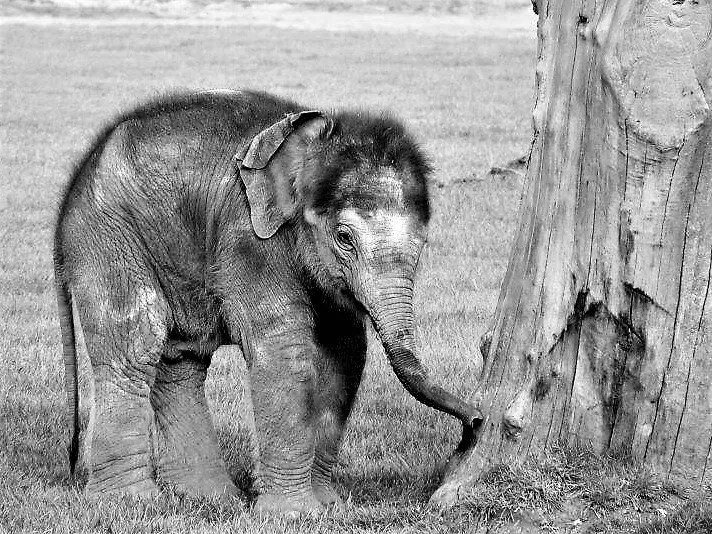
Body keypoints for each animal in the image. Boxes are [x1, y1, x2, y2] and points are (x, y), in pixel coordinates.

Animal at [53, 89, 481, 515]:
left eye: (424, 242)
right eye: (344, 238)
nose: (475, 421)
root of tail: (72, 188)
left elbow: (345, 350)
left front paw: (329, 505)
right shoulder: (248, 237)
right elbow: (284, 349)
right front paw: (294, 514)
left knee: (181, 357)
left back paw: (207, 497)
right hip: (108, 239)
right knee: (134, 346)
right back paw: (128, 502)